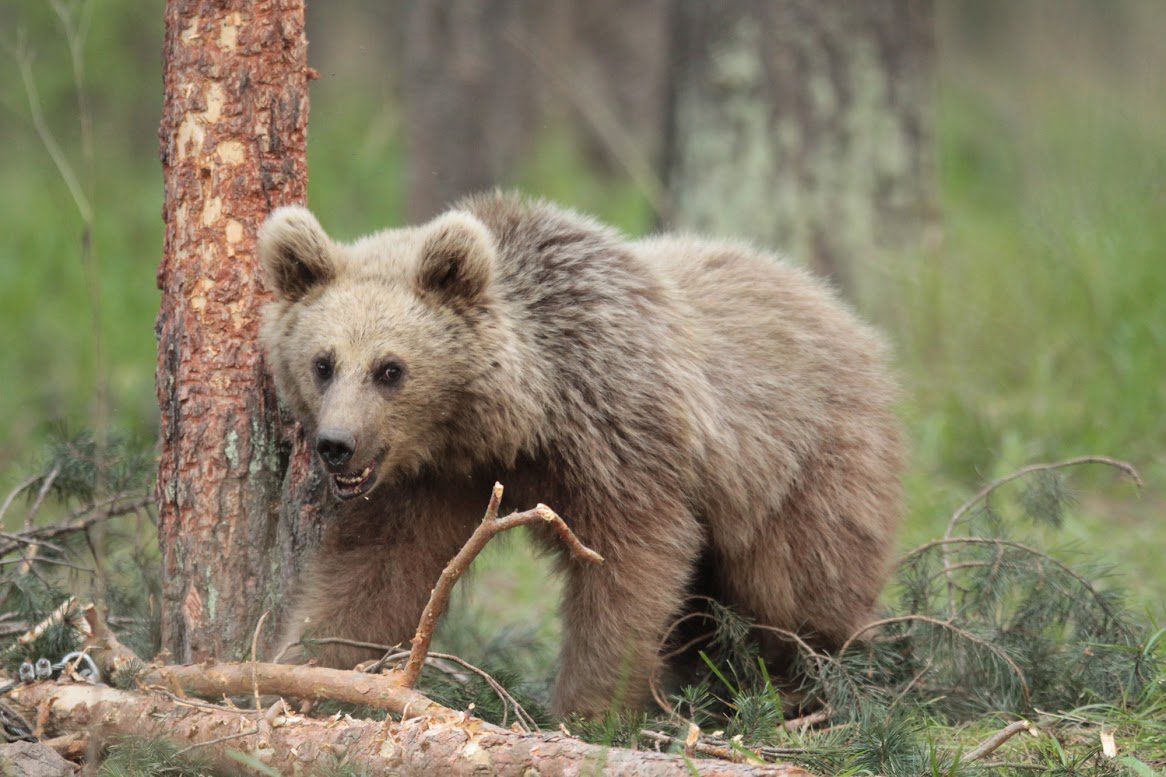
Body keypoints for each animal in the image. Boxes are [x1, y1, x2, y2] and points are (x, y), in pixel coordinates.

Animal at [258, 192, 903, 717]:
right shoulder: (427, 482)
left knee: (801, 588)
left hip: (802, 467)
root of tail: (843, 312)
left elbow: (627, 568)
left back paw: (824, 684)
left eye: (390, 369)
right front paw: (296, 675)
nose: (336, 445)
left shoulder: (618, 437)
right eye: (323, 363)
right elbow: (373, 575)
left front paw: (589, 711)